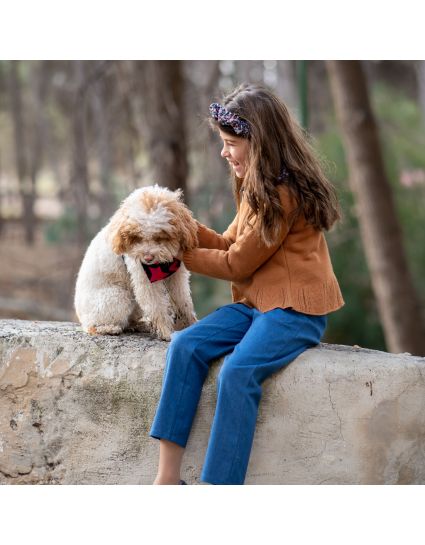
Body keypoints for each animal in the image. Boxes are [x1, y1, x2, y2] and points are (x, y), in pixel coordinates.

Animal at [74, 187, 197, 340]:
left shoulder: (177, 276)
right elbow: (156, 305)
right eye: (137, 237)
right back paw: (110, 328)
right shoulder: (144, 279)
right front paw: (167, 332)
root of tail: (81, 317)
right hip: (118, 296)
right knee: (93, 327)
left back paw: (139, 325)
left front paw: (192, 324)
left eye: (160, 237)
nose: (147, 258)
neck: (162, 265)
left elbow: (184, 301)